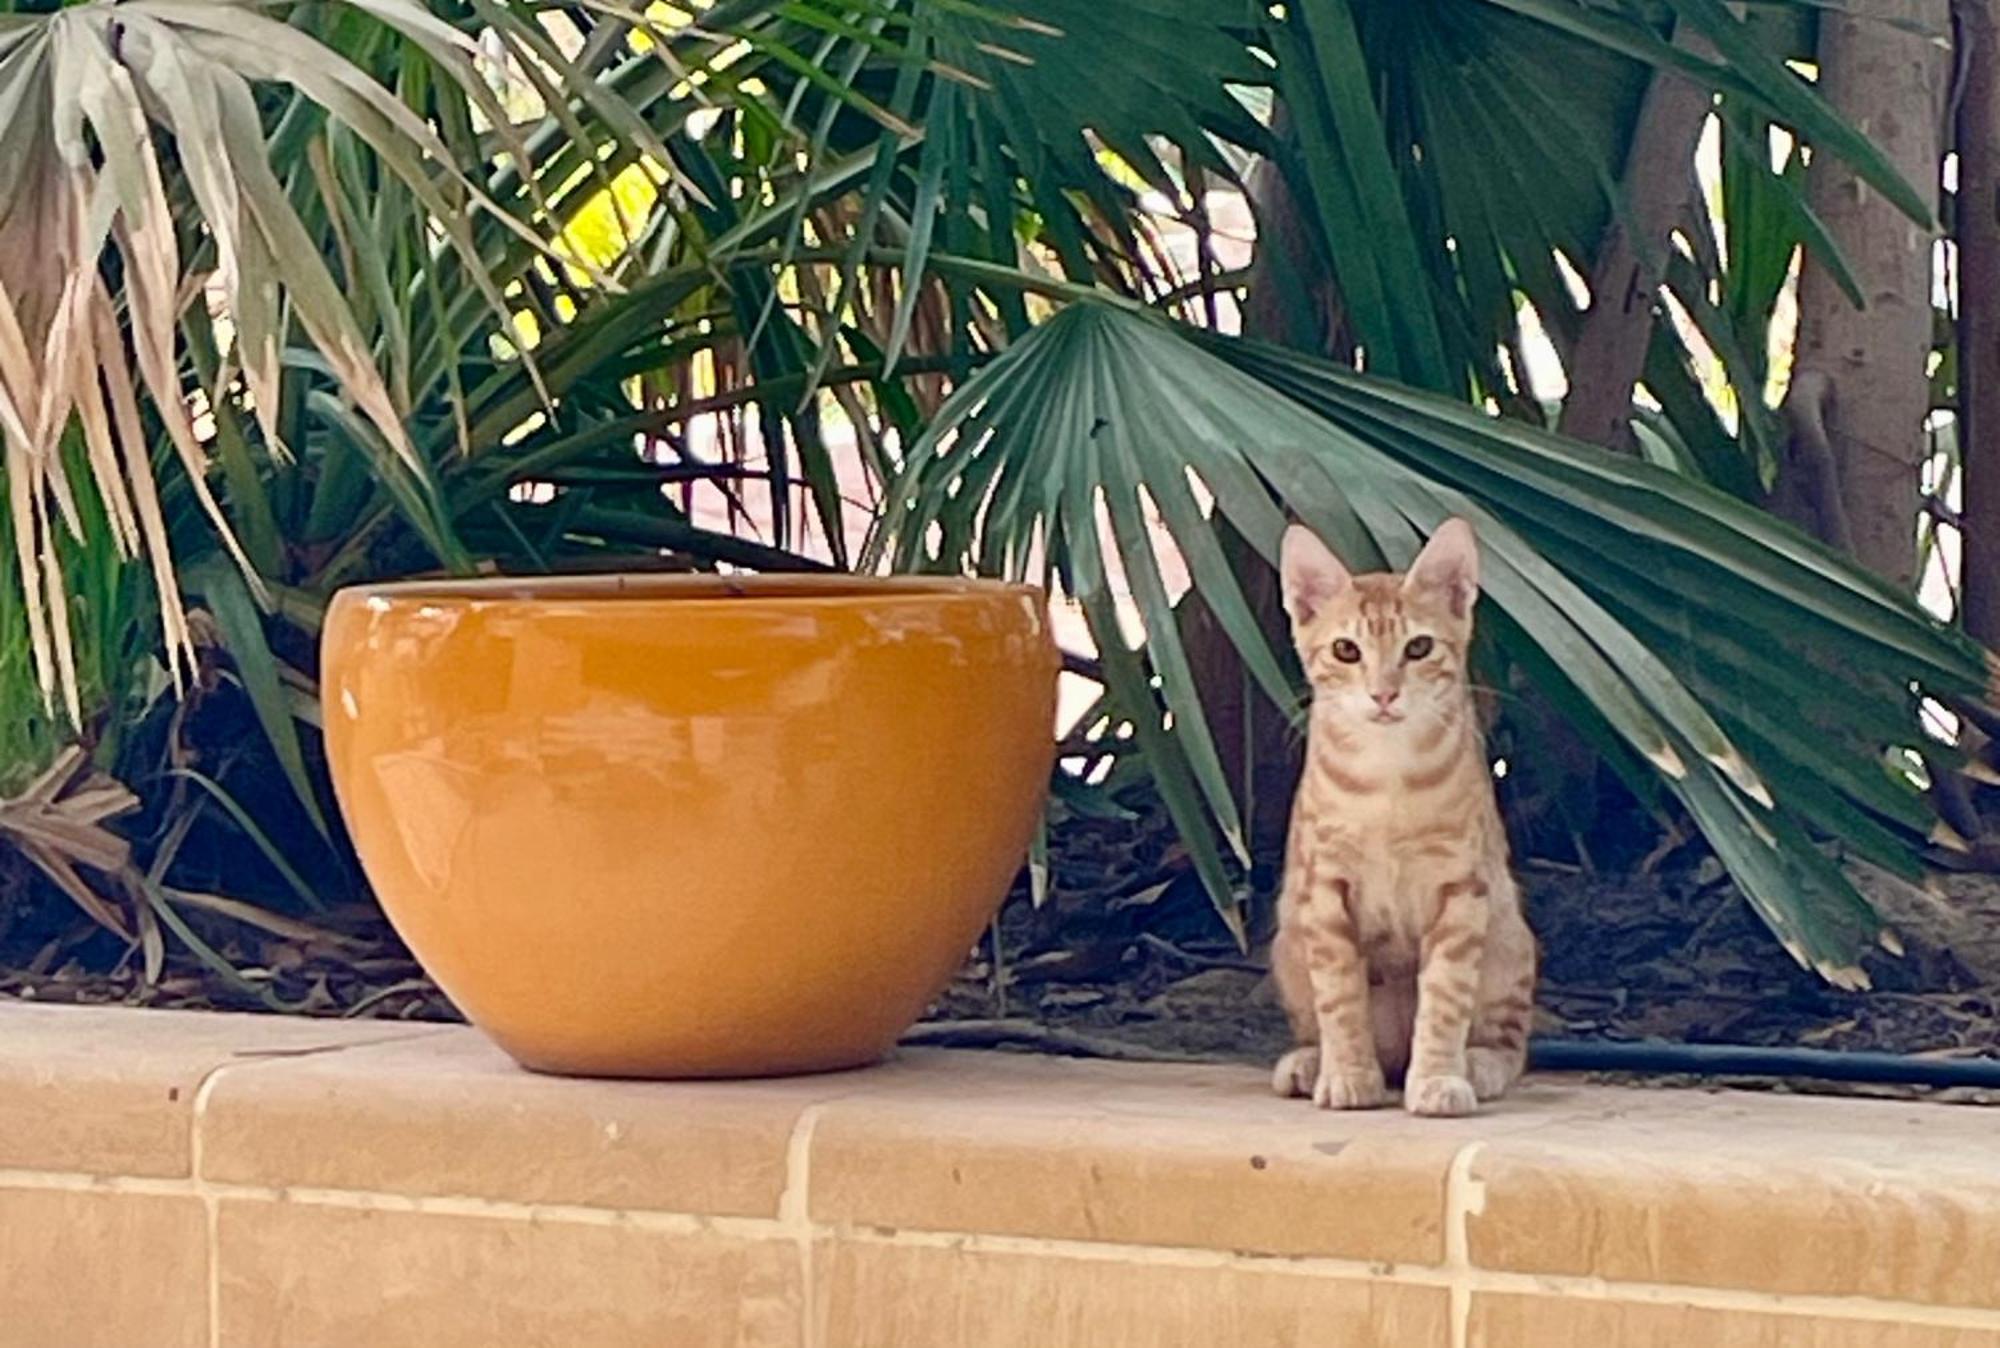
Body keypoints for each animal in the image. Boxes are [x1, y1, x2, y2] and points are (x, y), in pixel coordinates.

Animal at [1272, 516, 1536, 1112]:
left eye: (1418, 647)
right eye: (1345, 650)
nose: (1384, 694)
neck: (1386, 778)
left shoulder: (1461, 890)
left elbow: (1444, 997)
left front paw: (1438, 1077)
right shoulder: (1324, 890)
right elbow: (1339, 998)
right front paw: (1348, 1073)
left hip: (1510, 939)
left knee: (1511, 1043)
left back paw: (1480, 1062)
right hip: (1287, 942)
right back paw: (1311, 1061)